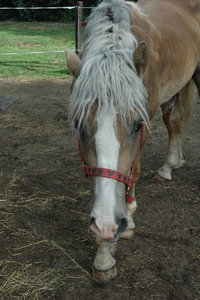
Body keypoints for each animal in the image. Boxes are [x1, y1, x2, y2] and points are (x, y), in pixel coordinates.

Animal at [65, 0, 200, 284]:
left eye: (137, 125)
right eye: (78, 124)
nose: (107, 224)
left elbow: (132, 173)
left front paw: (126, 220)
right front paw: (104, 253)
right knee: (174, 120)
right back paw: (169, 167)